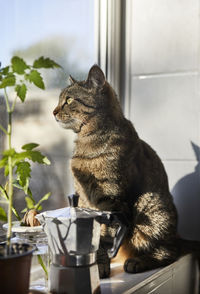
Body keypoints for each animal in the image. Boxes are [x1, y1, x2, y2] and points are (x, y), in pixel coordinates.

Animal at [52, 65, 178, 278]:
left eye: (68, 100)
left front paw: (99, 267)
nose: (53, 111)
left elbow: (103, 238)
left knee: (168, 252)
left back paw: (138, 261)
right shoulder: (84, 197)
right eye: (60, 100)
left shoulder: (111, 199)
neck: (87, 142)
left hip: (152, 209)